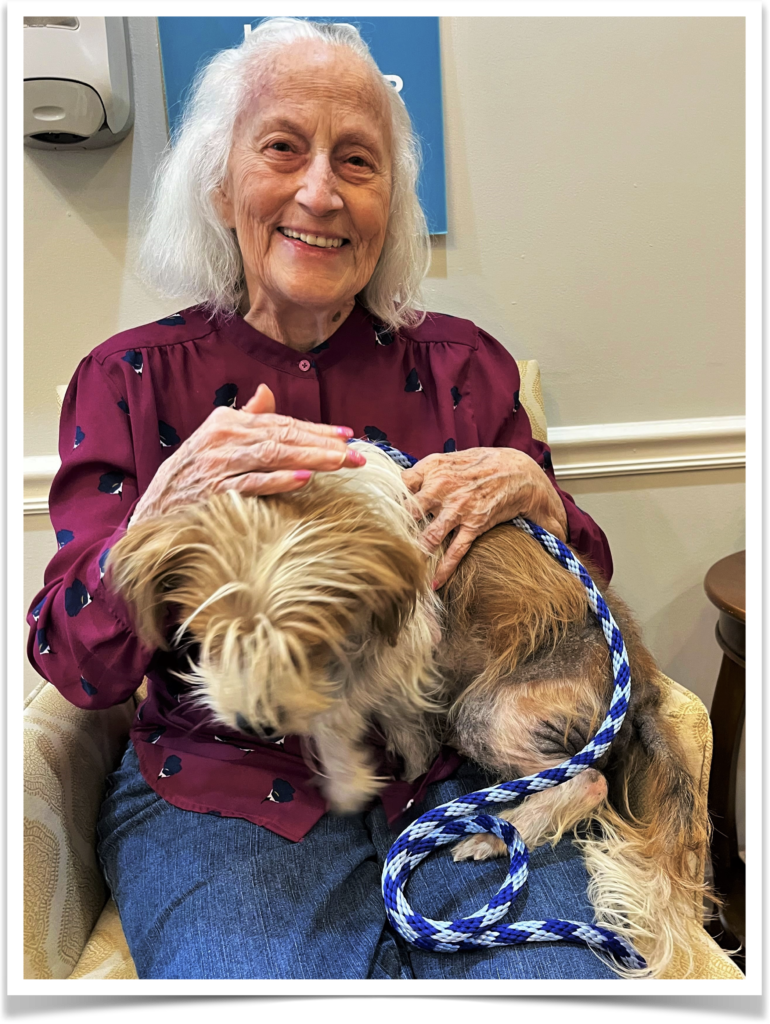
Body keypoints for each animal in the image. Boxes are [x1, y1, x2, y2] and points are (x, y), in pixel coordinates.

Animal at [107, 438, 716, 974]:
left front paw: (369, 768)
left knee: (587, 780)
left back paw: (491, 833)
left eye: (299, 643)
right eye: (208, 634)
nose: (251, 722)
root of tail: (642, 683)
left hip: (488, 712)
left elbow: (356, 705)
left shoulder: (405, 640)